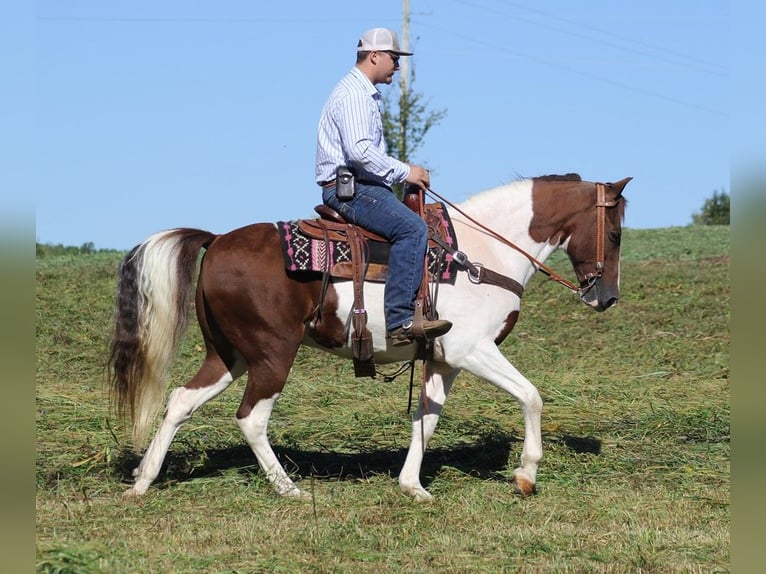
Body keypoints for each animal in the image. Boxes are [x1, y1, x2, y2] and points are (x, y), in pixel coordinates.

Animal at [111, 173, 632, 502]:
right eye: (615, 233)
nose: (607, 298)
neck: (481, 255)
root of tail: (216, 240)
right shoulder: (472, 350)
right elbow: (531, 396)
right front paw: (526, 474)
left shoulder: (443, 360)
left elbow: (427, 419)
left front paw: (412, 486)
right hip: (272, 354)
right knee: (251, 418)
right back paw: (288, 488)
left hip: (229, 354)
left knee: (180, 400)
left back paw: (142, 481)